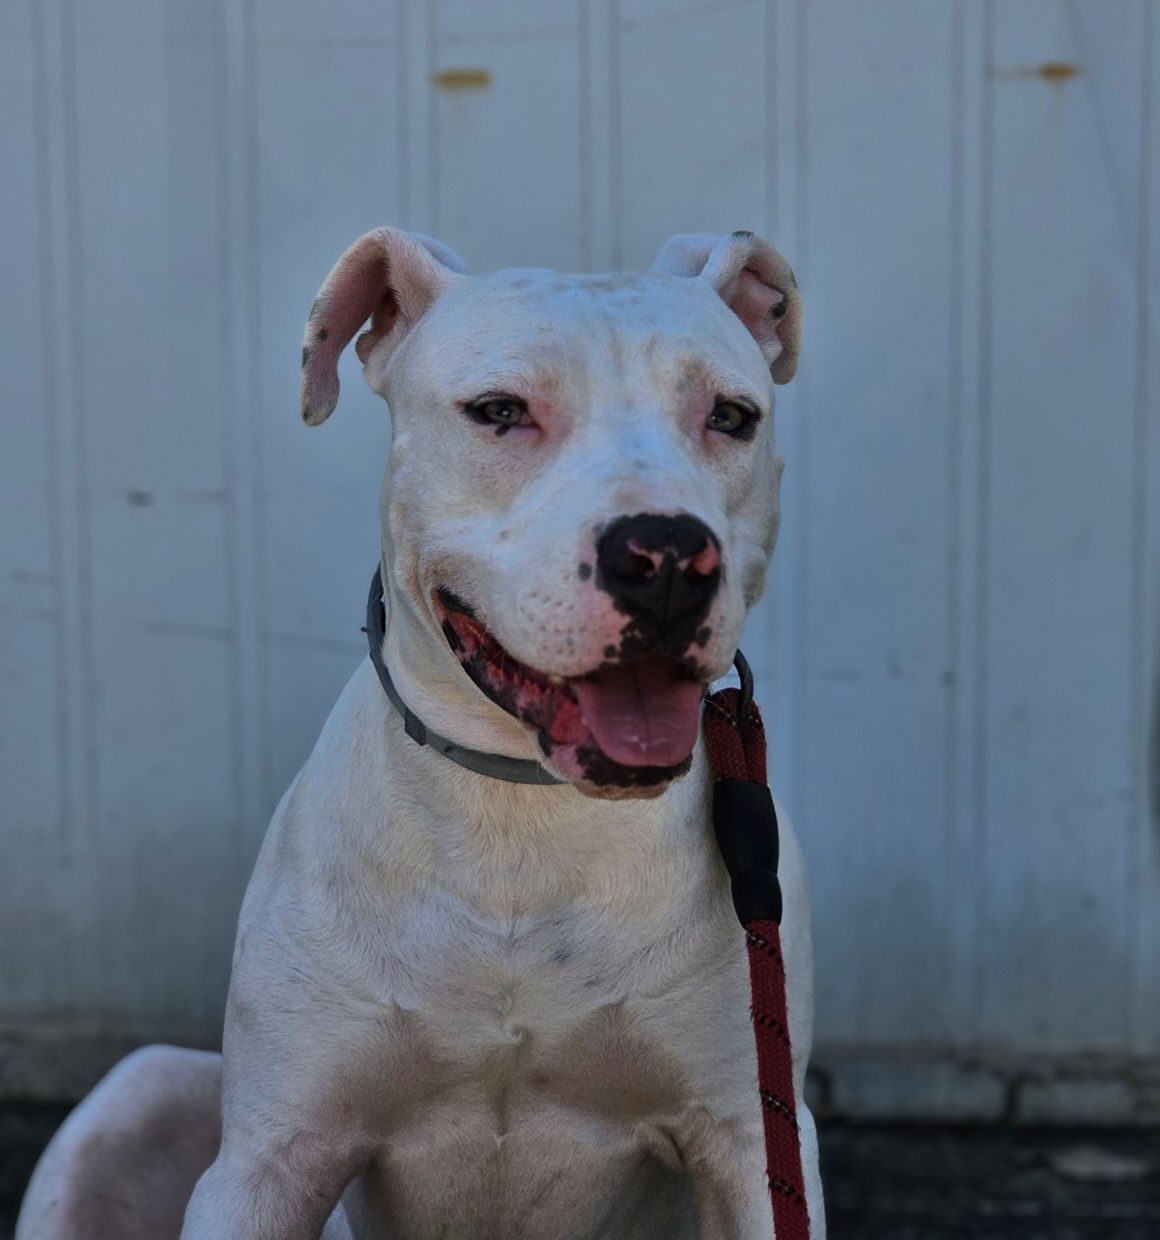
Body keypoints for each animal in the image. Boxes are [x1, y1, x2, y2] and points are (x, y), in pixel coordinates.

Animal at [17, 227, 823, 1239]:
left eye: (731, 415)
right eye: (499, 411)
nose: (668, 555)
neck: (520, 814)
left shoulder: (754, 1142)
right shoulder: (269, 1160)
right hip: (137, 1091)